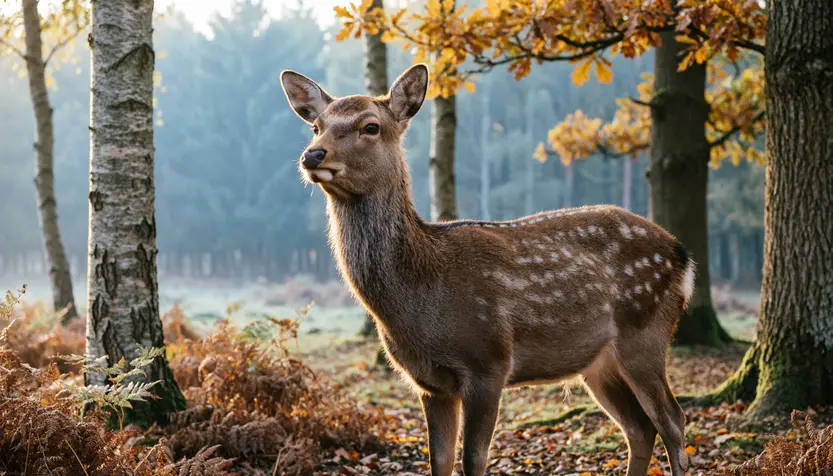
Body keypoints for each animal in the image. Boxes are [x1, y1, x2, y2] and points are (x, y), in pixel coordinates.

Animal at [279, 63, 693, 476]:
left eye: (370, 126)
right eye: (316, 125)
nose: (312, 155)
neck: (421, 295)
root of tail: (682, 255)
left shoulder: (488, 363)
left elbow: (474, 459)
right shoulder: (428, 382)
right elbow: (440, 460)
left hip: (645, 334)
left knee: (672, 420)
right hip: (598, 364)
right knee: (639, 427)